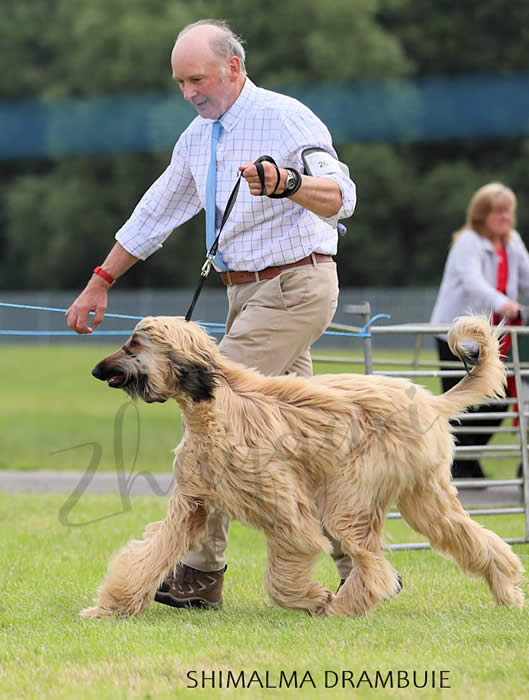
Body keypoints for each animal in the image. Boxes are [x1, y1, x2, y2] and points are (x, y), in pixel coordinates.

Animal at [80, 314, 520, 616]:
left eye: (133, 345)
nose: (96, 370)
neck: (215, 403)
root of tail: (430, 402)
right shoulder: (192, 502)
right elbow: (152, 554)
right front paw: (112, 607)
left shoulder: (284, 505)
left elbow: (287, 564)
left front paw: (311, 597)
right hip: (424, 494)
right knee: (471, 537)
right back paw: (507, 588)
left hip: (350, 496)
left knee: (373, 565)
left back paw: (344, 606)